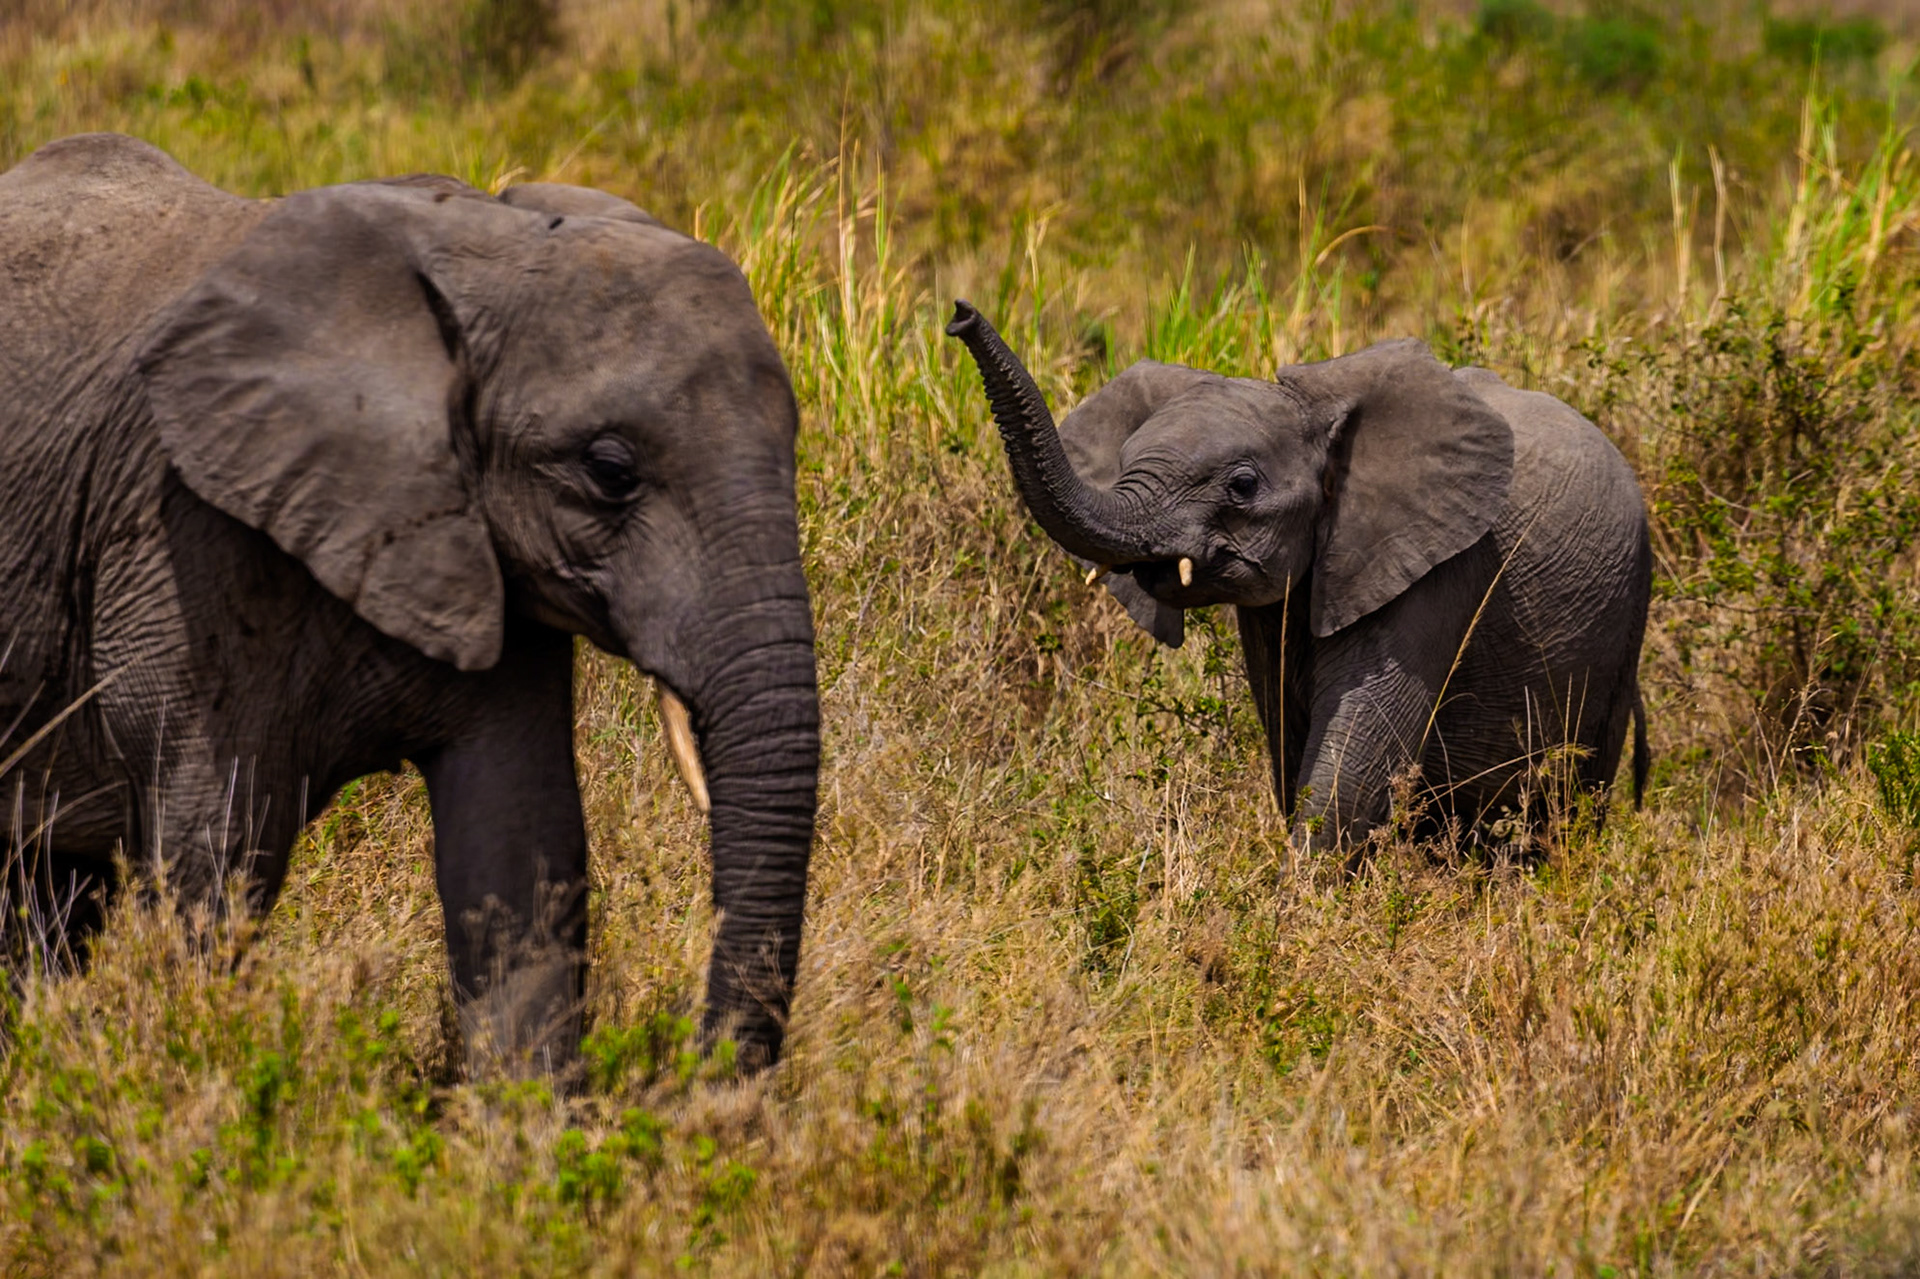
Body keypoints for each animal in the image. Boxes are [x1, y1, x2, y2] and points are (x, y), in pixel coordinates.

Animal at [0, 134, 819, 1074]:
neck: (484, 250)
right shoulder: (182, 528)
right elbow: (219, 851)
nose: (698, 1072)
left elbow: (519, 847)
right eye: (610, 470)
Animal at [947, 301, 1650, 855]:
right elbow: (1290, 739)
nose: (957, 314)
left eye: (1242, 485)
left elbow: (1355, 758)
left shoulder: (1442, 566)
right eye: (1123, 466)